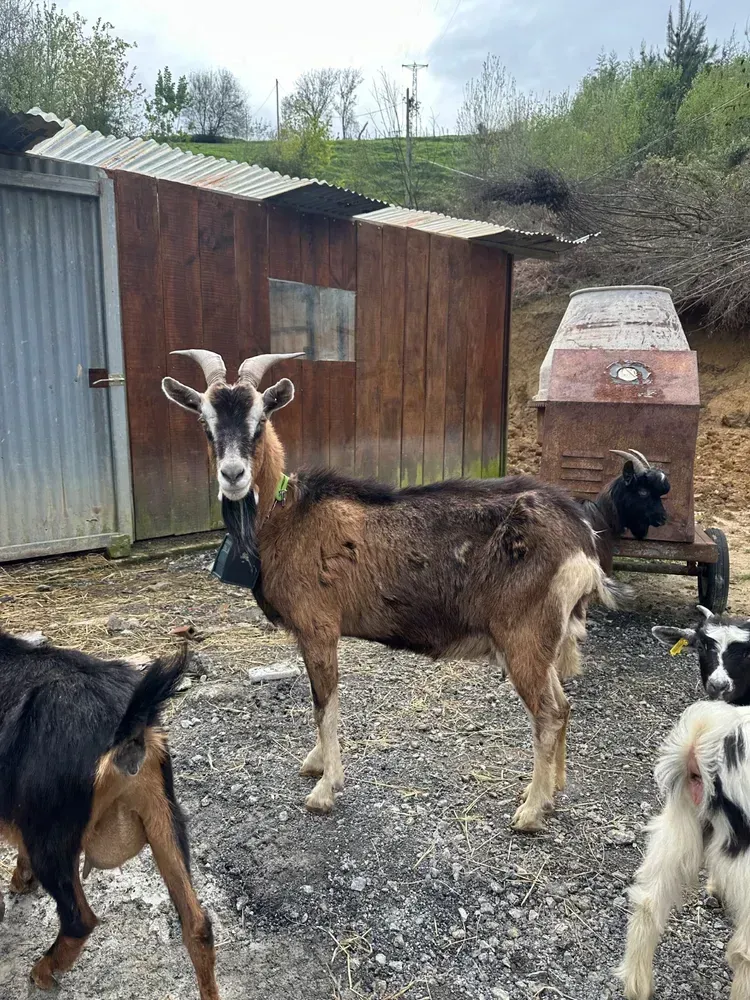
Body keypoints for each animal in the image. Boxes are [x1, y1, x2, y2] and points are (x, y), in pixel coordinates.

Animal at [0, 630, 219, 999]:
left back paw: (42, 973)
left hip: (52, 836)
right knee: (198, 925)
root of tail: (125, 731)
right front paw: (21, 879)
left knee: (79, 920)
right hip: (163, 812)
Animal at [163, 350, 631, 831]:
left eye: (259, 421)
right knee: (564, 705)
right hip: (541, 639)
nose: (233, 475)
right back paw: (555, 790)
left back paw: (532, 809)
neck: (286, 517)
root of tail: (581, 536)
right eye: (205, 422)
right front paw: (315, 763)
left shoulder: (319, 626)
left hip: (524, 635)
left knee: (548, 713)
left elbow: (324, 703)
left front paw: (325, 788)